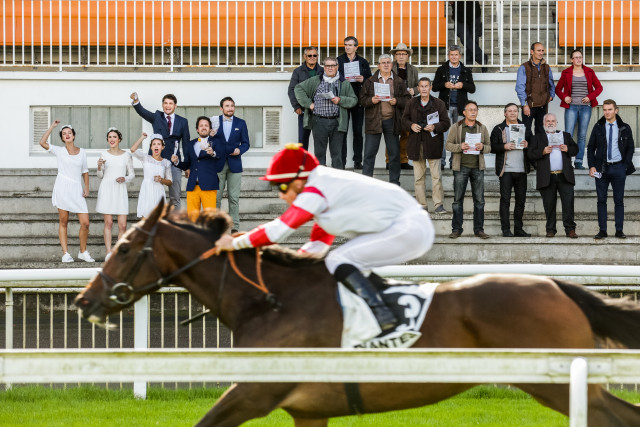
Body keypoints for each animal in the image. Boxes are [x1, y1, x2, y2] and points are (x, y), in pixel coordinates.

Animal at [76, 201, 640, 427]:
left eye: (124, 247)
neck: (269, 299)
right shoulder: (308, 408)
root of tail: (557, 284)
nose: (85, 300)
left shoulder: (255, 393)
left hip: (555, 383)